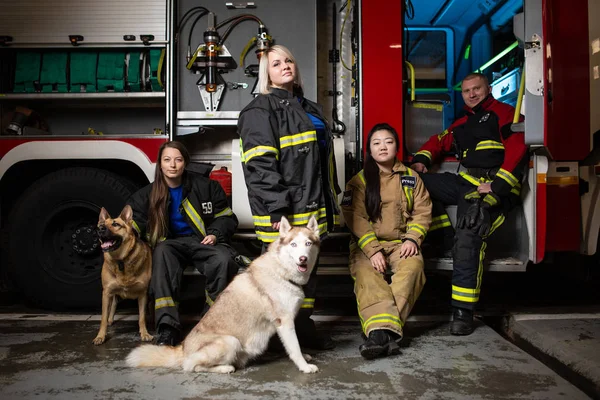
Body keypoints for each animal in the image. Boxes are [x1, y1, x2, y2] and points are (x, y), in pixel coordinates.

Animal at [92, 205, 152, 346]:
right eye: (101, 224)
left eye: (115, 224)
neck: (121, 260)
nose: (100, 229)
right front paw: (101, 336)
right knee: (113, 303)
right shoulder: (106, 293)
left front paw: (144, 333)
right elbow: (103, 318)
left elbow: (141, 317)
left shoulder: (143, 294)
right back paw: (110, 319)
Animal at [126, 216, 322, 376]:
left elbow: (292, 345)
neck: (282, 271)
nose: (303, 259)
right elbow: (294, 347)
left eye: (308, 244)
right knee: (190, 366)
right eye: (293, 245)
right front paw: (304, 366)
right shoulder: (285, 321)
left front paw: (303, 356)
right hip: (230, 341)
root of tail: (183, 348)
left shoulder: (283, 323)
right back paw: (225, 368)